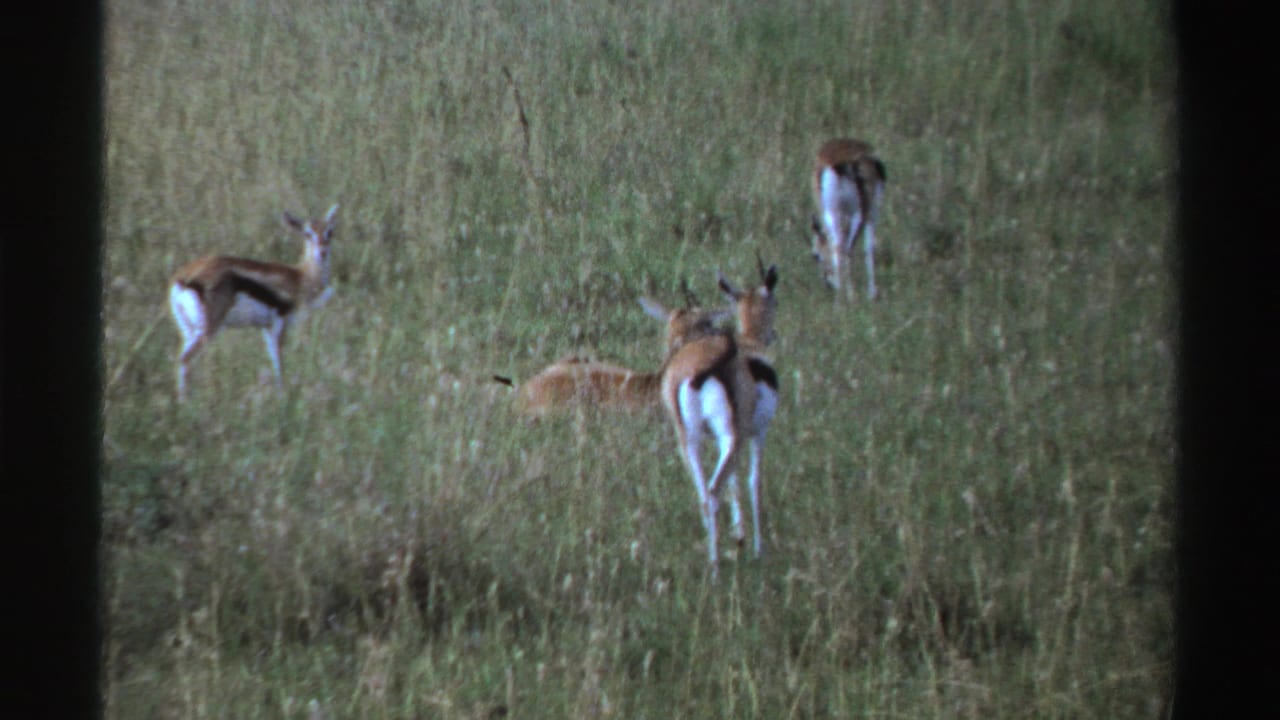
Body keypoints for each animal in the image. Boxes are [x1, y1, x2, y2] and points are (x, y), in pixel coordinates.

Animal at [168, 204, 339, 400]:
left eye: (330, 232)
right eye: (307, 233)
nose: (322, 252)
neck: (301, 277)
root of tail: (184, 277)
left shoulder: (266, 327)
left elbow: (274, 360)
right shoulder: (279, 323)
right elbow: (279, 362)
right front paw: (282, 397)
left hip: (188, 330)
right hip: (208, 330)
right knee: (184, 359)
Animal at [643, 261, 779, 576]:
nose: (773, 336)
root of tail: (700, 369)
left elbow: (735, 483)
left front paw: (740, 537)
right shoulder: (757, 433)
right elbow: (753, 482)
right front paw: (756, 548)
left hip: (690, 441)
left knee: (704, 494)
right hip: (731, 436)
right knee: (715, 490)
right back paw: (717, 568)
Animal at [811, 138, 886, 298]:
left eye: (816, 256)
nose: (828, 285)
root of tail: (838, 164)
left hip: (837, 214)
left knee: (841, 248)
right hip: (859, 213)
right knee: (846, 248)